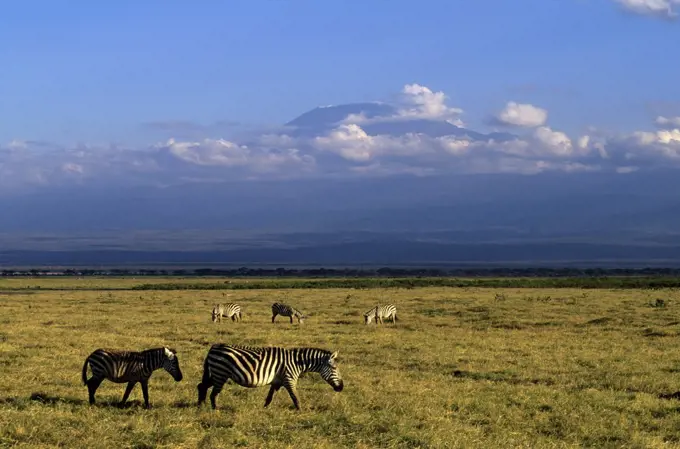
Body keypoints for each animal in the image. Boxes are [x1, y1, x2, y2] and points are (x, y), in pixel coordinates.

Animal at [197, 344, 346, 410]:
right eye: (334, 369)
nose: (341, 388)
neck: (297, 363)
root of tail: (214, 347)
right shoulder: (289, 379)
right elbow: (295, 397)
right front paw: (301, 411)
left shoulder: (277, 381)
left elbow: (270, 397)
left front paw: (264, 409)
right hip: (220, 374)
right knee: (213, 393)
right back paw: (215, 409)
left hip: (217, 374)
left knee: (201, 386)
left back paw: (200, 405)